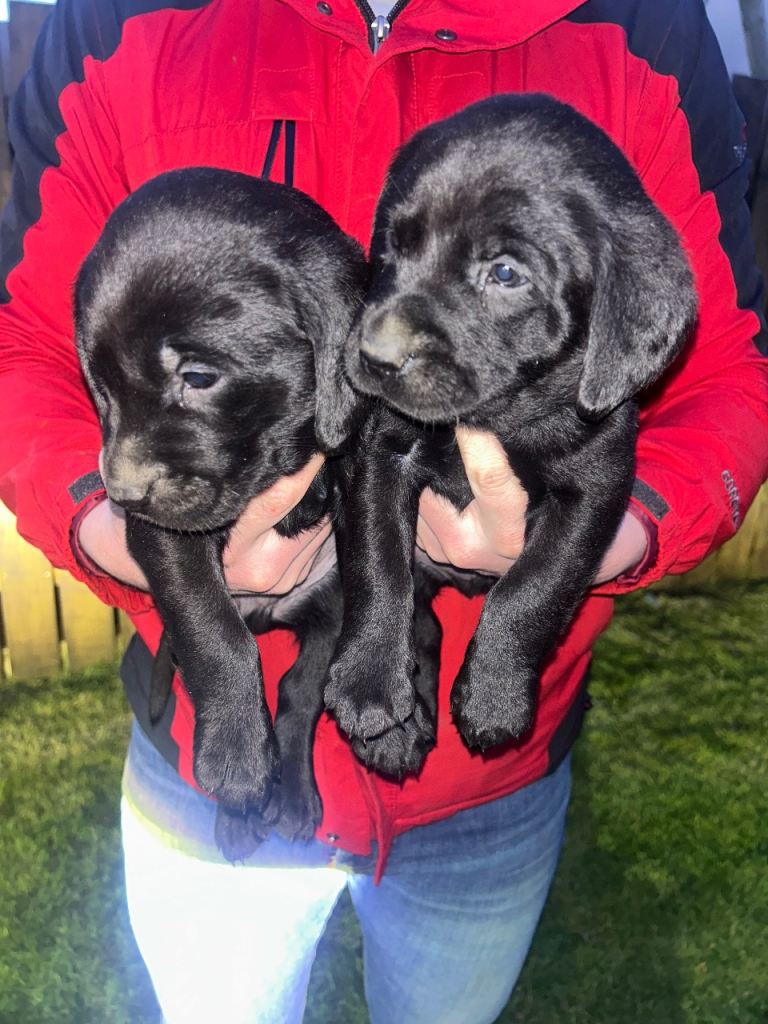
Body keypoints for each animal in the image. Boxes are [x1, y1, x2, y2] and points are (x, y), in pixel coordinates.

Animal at [75, 167, 367, 857]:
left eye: (200, 377)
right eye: (99, 386)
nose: (121, 494)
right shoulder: (166, 538)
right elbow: (214, 631)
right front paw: (235, 757)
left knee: (298, 693)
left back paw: (291, 797)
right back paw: (241, 811)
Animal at [324, 93, 697, 764]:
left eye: (504, 274)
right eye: (393, 245)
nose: (373, 358)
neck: (500, 414)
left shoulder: (595, 488)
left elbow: (534, 586)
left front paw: (494, 697)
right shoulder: (379, 456)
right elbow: (379, 564)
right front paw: (369, 683)